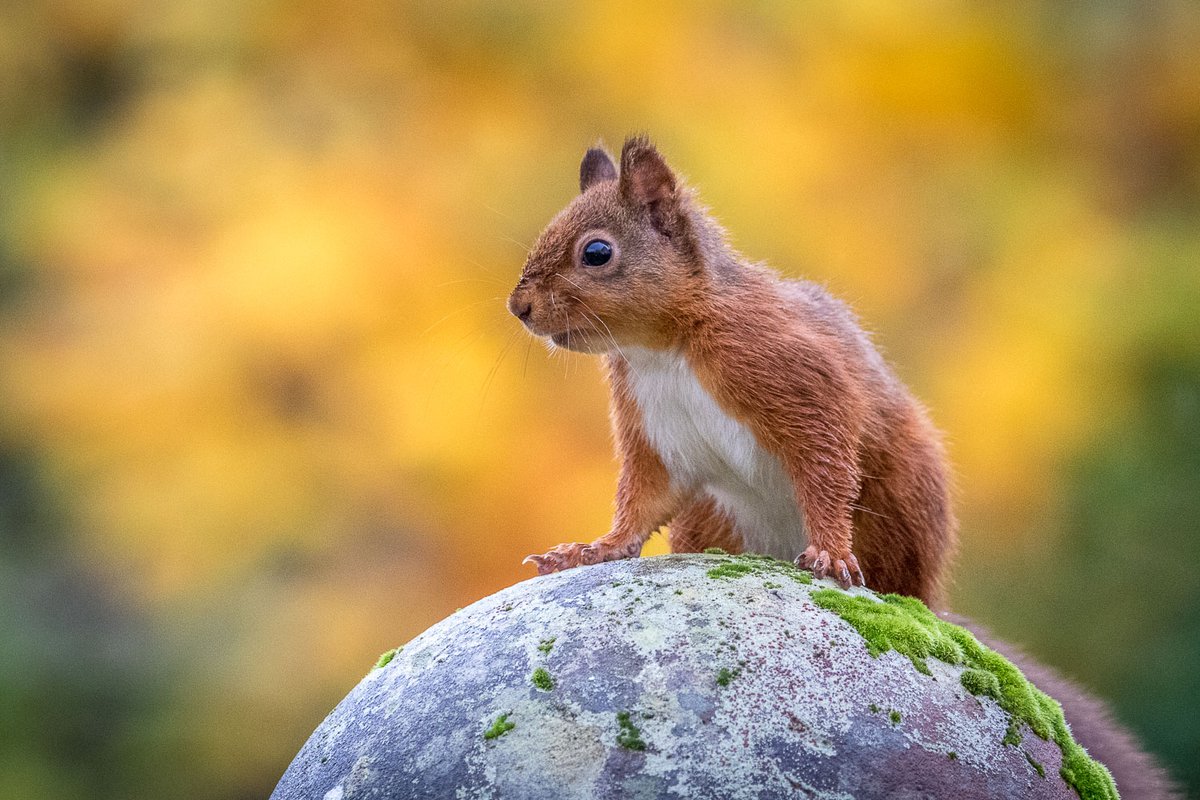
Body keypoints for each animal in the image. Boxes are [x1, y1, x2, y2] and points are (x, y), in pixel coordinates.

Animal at [508, 136, 955, 606]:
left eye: (597, 252)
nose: (518, 307)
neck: (664, 350)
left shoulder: (795, 375)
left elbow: (825, 463)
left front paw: (830, 552)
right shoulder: (655, 431)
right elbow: (644, 498)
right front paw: (594, 549)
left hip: (905, 498)